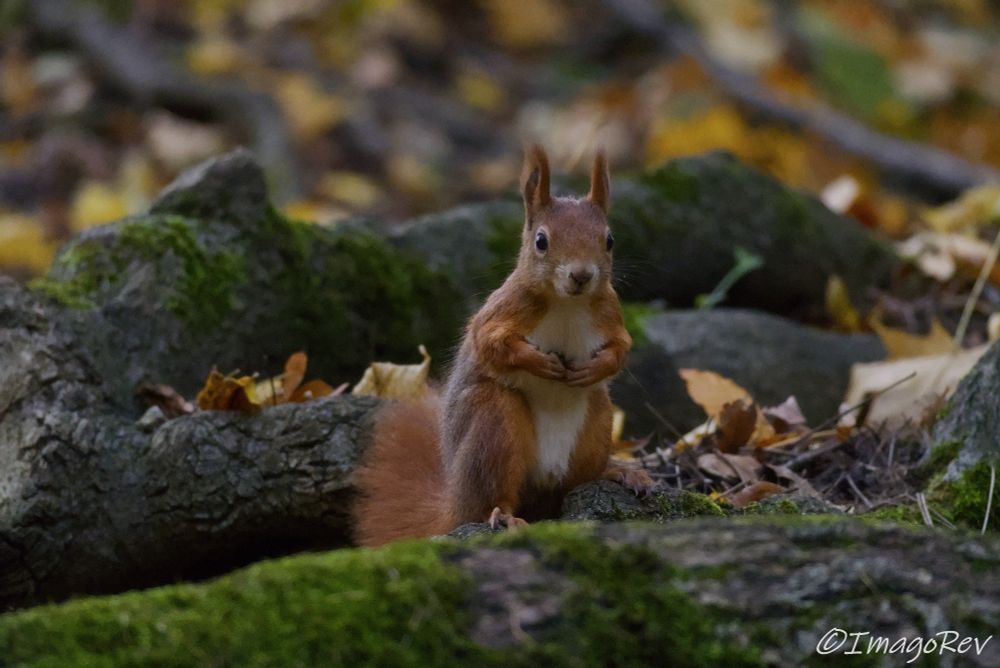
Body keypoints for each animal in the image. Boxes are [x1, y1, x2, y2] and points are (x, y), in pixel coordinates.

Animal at [353, 145, 654, 547]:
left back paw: (617, 473)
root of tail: (455, 502)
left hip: (597, 422)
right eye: (541, 241)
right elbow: (490, 344)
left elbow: (621, 349)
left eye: (609, 240)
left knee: (573, 483)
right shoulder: (502, 311)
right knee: (493, 498)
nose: (581, 275)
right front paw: (539, 363)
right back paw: (506, 516)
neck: (567, 303)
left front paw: (596, 367)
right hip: (495, 428)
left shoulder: (610, 314)